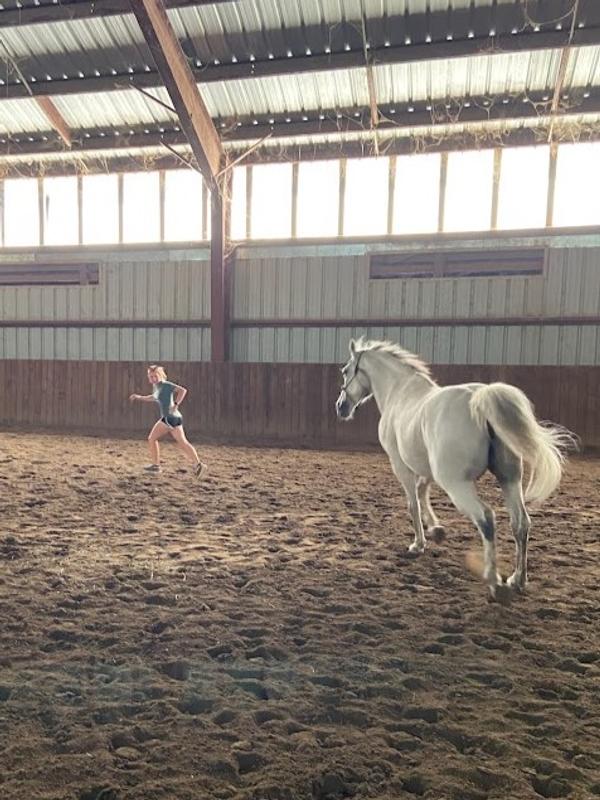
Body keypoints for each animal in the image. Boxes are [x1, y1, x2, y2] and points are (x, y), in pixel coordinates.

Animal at [335, 337, 574, 601]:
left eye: (345, 371)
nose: (341, 407)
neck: (399, 392)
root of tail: (480, 402)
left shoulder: (400, 465)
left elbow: (413, 503)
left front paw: (418, 544)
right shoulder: (428, 470)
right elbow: (422, 492)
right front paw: (436, 530)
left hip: (457, 485)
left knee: (486, 519)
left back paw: (495, 582)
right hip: (509, 479)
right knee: (520, 523)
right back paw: (517, 580)